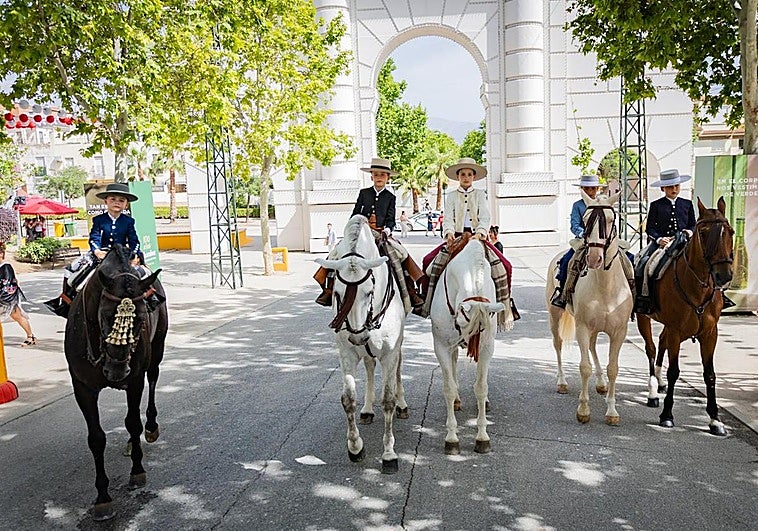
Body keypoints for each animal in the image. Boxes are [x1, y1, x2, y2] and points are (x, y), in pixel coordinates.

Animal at [64, 244, 168, 520]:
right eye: (105, 316)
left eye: (141, 319)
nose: (116, 371)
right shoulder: (82, 387)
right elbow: (96, 438)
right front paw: (102, 496)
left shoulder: (134, 380)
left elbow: (132, 422)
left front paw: (137, 471)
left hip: (157, 348)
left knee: (153, 378)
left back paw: (150, 427)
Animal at [315, 215, 408, 474]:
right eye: (337, 292)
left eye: (369, 291)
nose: (358, 337)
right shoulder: (346, 353)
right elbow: (348, 399)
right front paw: (355, 447)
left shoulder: (389, 353)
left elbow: (388, 400)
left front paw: (389, 453)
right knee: (368, 366)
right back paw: (366, 409)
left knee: (398, 369)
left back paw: (402, 404)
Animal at [429, 236, 505, 455]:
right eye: (464, 321)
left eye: (481, 328)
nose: (466, 342)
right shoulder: (442, 345)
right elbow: (449, 388)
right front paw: (452, 438)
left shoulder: (487, 346)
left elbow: (481, 387)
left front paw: (482, 437)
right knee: (453, 367)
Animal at [546, 191, 633, 425]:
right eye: (585, 220)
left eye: (611, 220)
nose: (594, 258)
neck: (605, 286)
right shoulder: (583, 327)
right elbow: (584, 367)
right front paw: (583, 409)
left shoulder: (619, 331)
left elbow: (613, 368)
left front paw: (611, 411)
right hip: (555, 315)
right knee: (558, 344)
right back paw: (562, 382)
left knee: (593, 347)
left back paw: (601, 383)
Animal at [636, 197, 734, 436]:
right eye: (703, 233)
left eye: (731, 232)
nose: (724, 276)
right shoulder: (676, 330)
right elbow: (674, 371)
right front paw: (667, 414)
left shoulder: (710, 334)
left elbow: (710, 374)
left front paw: (715, 419)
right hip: (645, 318)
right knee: (651, 348)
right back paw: (653, 392)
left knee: (660, 342)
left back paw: (659, 383)